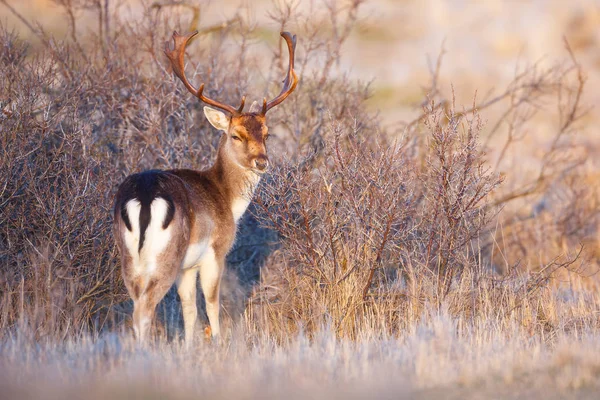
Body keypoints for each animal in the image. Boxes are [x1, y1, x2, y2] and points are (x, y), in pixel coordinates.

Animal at [113, 30, 298, 344]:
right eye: (236, 135)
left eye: (267, 134)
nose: (262, 162)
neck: (227, 199)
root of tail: (145, 197)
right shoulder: (215, 251)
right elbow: (211, 304)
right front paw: (219, 343)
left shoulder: (187, 267)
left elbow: (189, 309)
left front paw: (190, 346)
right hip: (166, 256)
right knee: (145, 309)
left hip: (129, 256)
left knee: (136, 303)